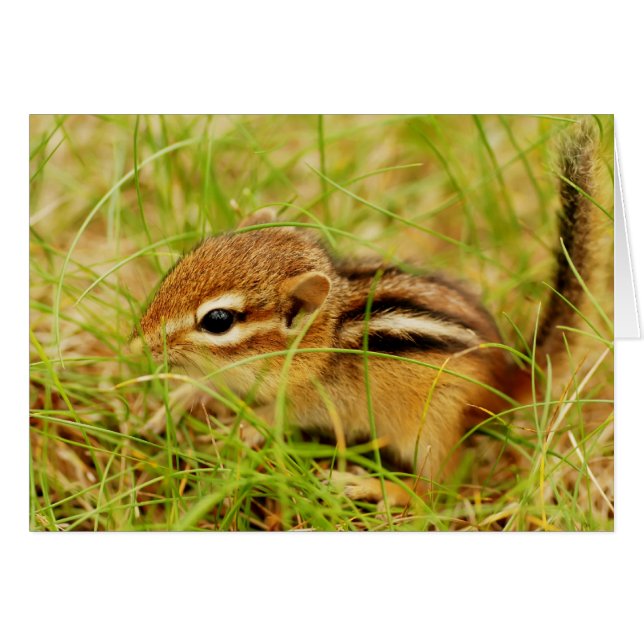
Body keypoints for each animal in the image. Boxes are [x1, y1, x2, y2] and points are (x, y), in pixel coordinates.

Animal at [131, 120, 604, 507]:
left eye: (218, 321)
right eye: (188, 259)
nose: (140, 342)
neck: (321, 340)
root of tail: (510, 379)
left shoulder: (318, 403)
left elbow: (278, 417)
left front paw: (239, 429)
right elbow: (207, 386)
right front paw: (172, 405)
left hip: (435, 424)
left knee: (436, 491)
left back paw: (370, 486)